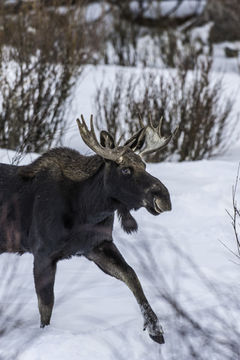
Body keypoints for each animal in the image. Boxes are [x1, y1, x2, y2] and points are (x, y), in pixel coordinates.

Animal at [0, 114, 176, 344]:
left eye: (145, 165)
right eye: (125, 169)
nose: (164, 198)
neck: (88, 209)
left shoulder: (97, 246)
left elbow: (131, 276)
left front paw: (156, 329)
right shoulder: (43, 253)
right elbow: (46, 306)